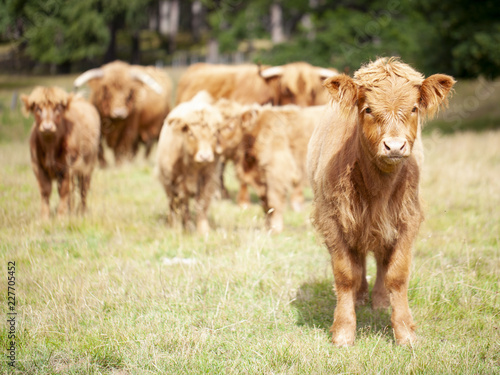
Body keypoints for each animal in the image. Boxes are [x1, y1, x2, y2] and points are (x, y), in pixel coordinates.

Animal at [21, 86, 100, 219]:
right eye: (38, 109)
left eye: (58, 108)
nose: (47, 127)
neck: (50, 147)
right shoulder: (37, 167)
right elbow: (45, 190)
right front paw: (45, 217)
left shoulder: (68, 167)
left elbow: (64, 190)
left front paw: (61, 216)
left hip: (88, 167)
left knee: (83, 188)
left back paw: (82, 211)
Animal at [306, 57, 456, 348]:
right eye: (367, 109)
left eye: (413, 108)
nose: (394, 146)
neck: (378, 188)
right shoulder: (332, 219)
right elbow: (346, 273)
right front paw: (343, 331)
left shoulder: (407, 218)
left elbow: (396, 274)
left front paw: (405, 331)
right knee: (359, 258)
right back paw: (360, 297)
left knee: (380, 259)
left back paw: (379, 300)